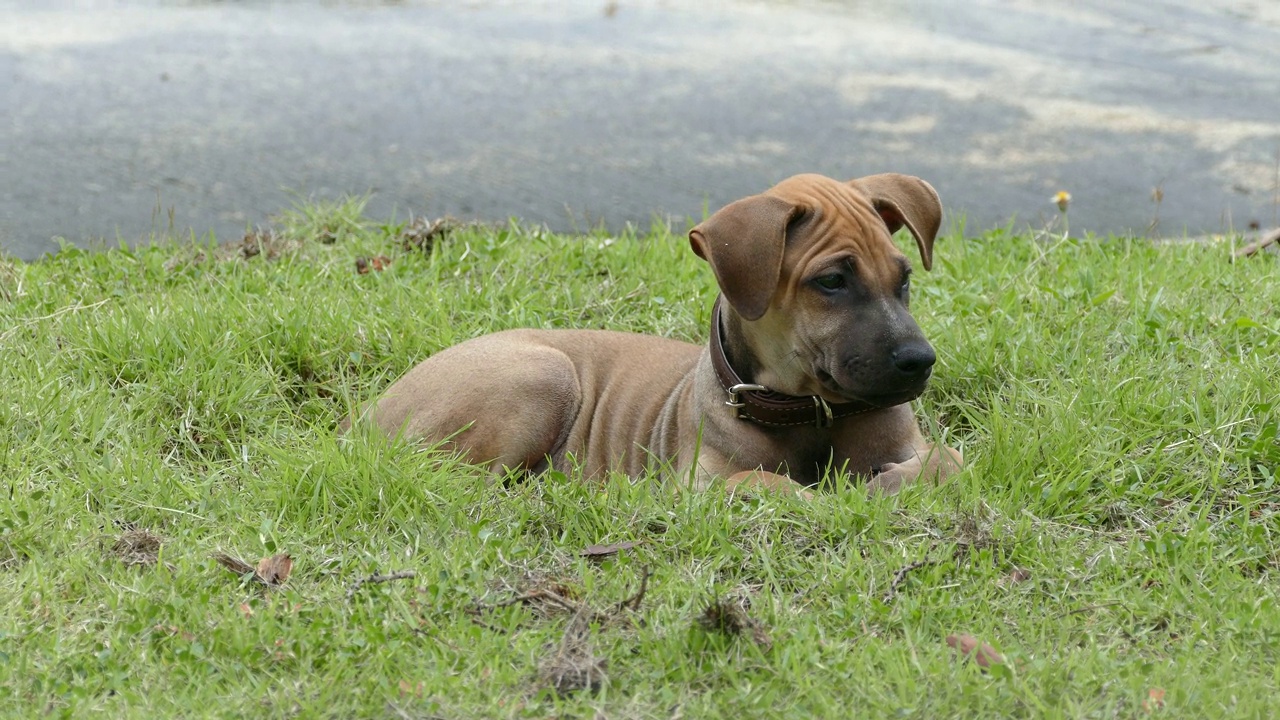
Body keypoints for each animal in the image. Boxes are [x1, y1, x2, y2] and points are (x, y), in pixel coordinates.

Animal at [358, 172, 962, 491]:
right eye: (831, 281)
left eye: (904, 278)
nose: (919, 360)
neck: (807, 412)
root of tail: (362, 417)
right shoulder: (701, 483)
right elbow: (766, 482)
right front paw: (843, 491)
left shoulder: (920, 447)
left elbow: (945, 461)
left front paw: (879, 481)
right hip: (542, 373)